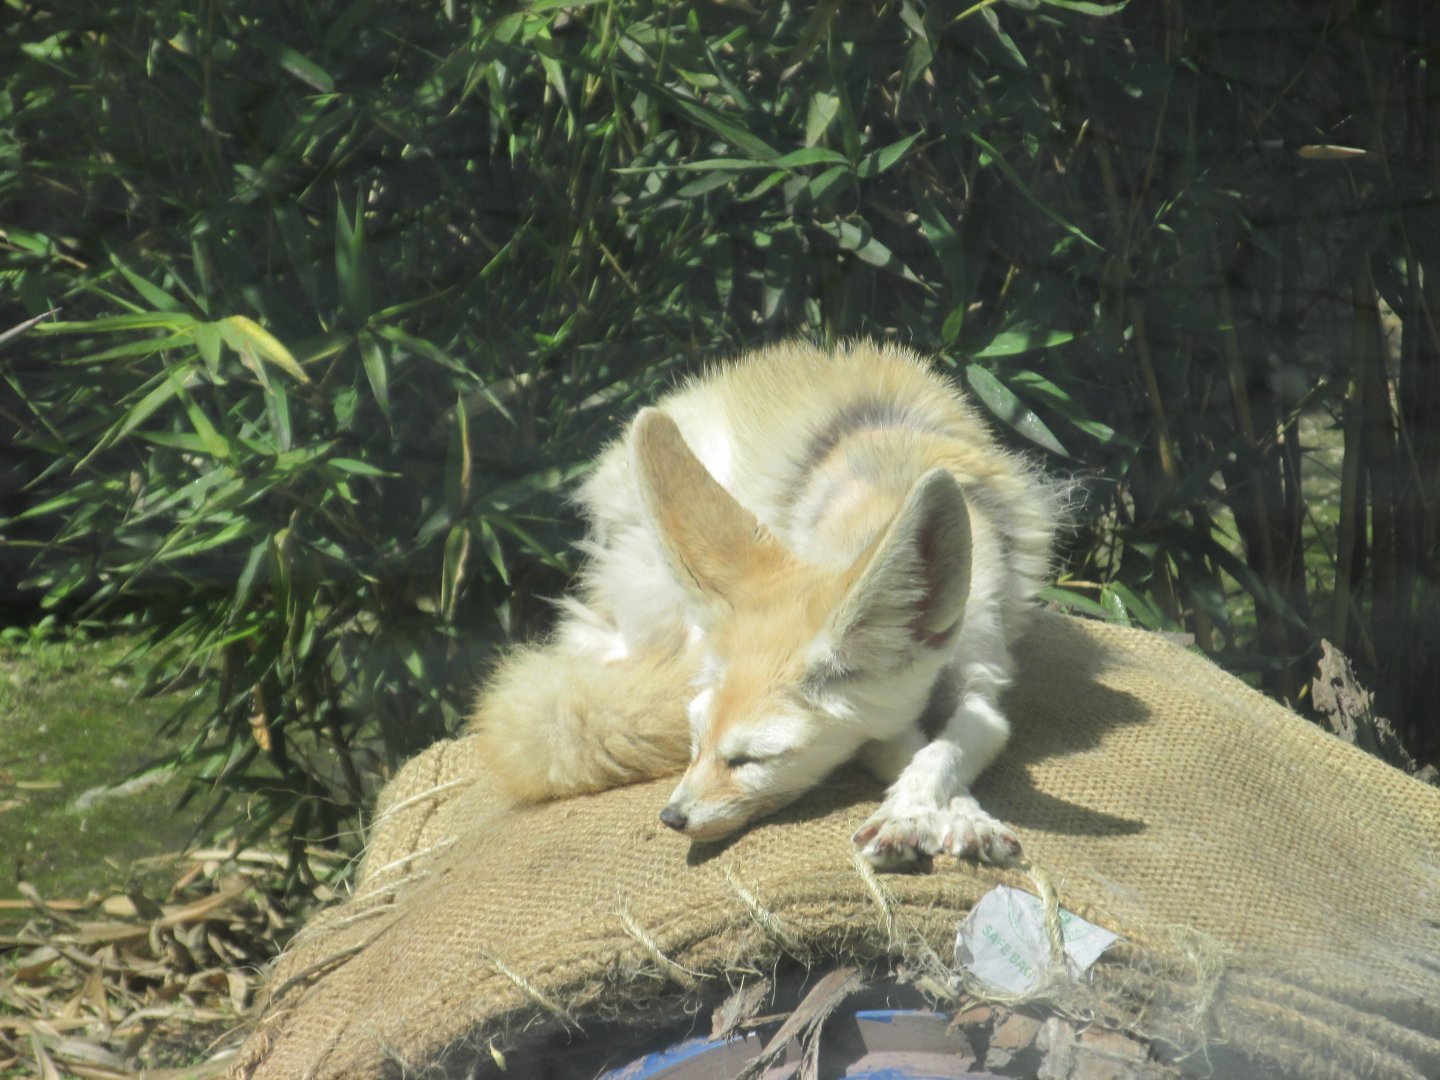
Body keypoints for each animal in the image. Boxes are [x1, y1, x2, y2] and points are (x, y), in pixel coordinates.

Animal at [469, 340, 1060, 868]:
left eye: (752, 759)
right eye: (695, 742)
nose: (671, 818)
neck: (884, 485)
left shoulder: (982, 662)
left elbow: (961, 740)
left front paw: (936, 812)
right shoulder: (884, 717)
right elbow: (902, 743)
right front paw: (926, 813)